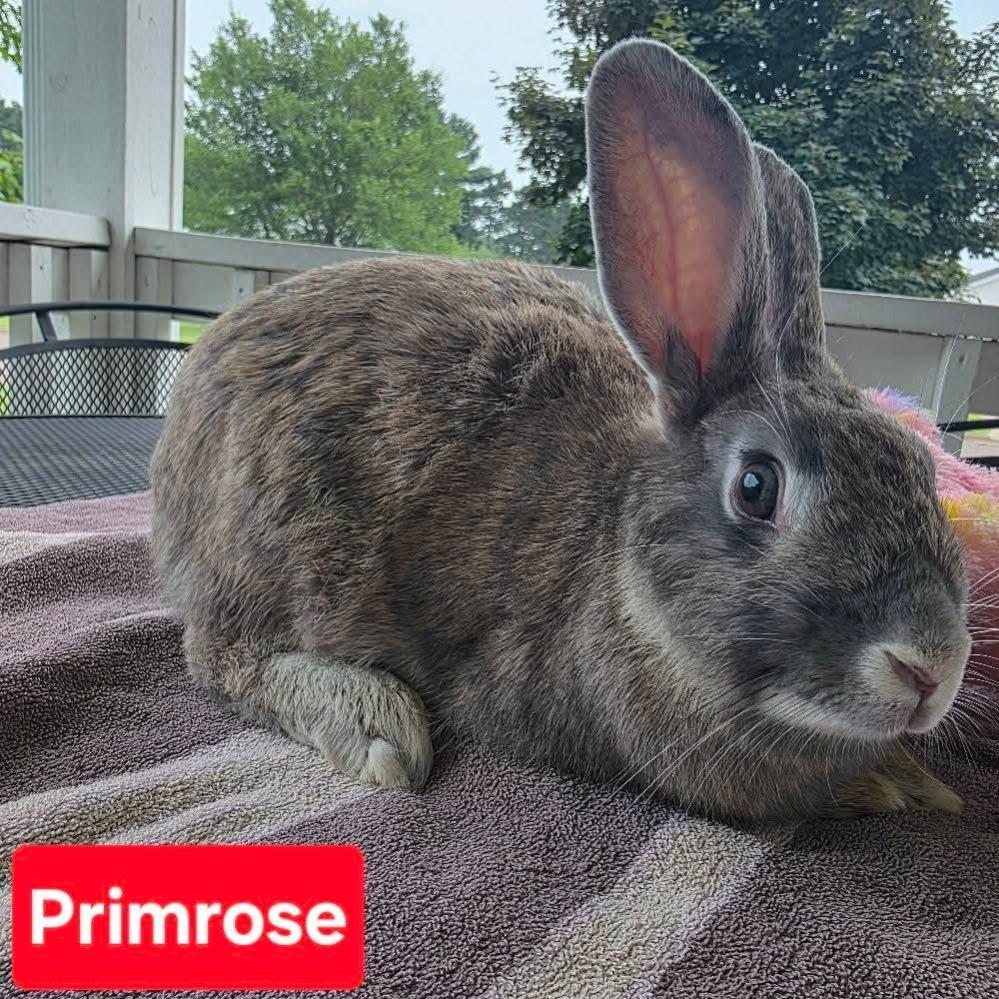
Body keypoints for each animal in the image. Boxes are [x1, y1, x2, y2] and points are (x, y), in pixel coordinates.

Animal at [150, 38, 971, 822]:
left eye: (917, 464)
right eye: (755, 486)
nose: (930, 668)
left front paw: (915, 781)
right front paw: (888, 784)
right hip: (272, 543)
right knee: (220, 656)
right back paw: (375, 723)